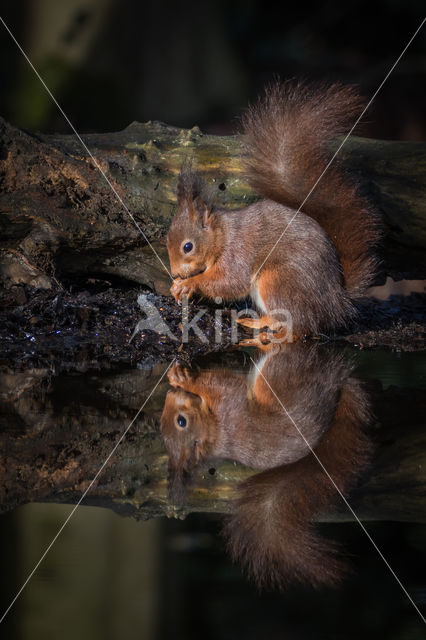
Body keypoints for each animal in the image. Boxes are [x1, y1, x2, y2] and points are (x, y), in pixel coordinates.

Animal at [161, 344, 372, 592]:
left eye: (180, 422)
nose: (170, 395)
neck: (215, 432)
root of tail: (335, 387)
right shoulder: (228, 404)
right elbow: (219, 382)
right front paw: (184, 379)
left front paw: (178, 378)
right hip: (279, 374)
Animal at [166, 81, 380, 336]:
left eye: (187, 246)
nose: (175, 273)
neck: (222, 235)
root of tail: (337, 301)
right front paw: (176, 285)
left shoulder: (237, 253)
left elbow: (229, 281)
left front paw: (188, 284)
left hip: (277, 280)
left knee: (293, 324)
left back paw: (259, 324)